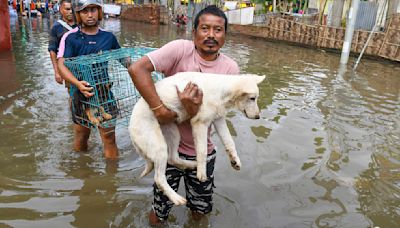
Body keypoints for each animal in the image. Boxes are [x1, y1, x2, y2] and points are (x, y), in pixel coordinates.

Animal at [129, 72, 266, 206]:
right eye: (252, 98)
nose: (258, 117)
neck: (221, 92)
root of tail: (130, 127)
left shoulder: (218, 120)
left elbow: (229, 142)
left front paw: (235, 160)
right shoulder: (199, 123)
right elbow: (202, 150)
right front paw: (201, 172)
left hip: (173, 132)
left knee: (173, 158)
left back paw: (192, 165)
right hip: (159, 147)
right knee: (159, 178)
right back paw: (176, 198)